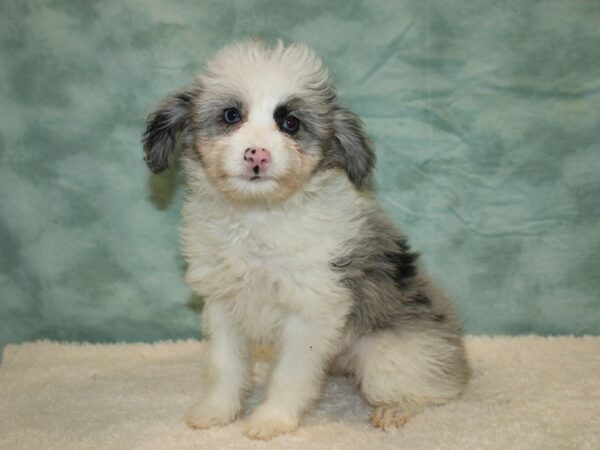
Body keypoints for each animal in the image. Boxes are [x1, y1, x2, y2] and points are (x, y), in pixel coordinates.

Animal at [143, 39, 472, 440]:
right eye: (231, 116)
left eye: (290, 123)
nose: (257, 154)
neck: (259, 216)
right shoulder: (222, 304)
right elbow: (224, 365)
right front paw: (217, 412)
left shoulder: (310, 311)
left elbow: (290, 374)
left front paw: (271, 420)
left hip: (385, 356)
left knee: (436, 392)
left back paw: (395, 410)